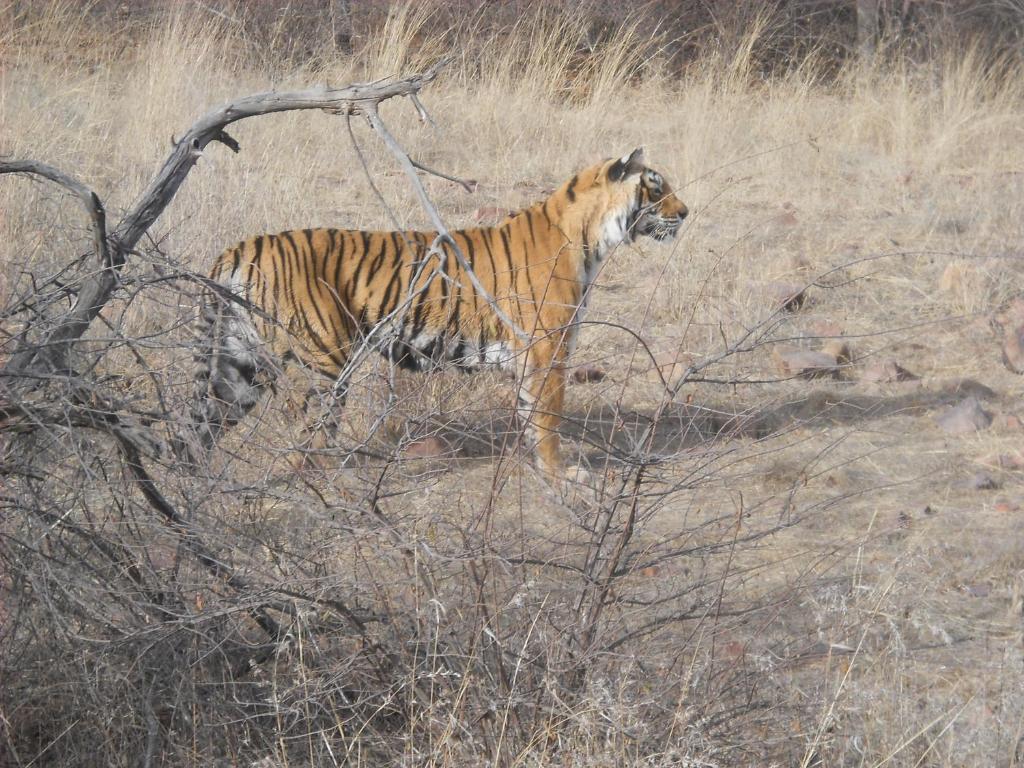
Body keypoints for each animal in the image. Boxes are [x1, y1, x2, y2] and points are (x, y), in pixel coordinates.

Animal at [184, 149, 688, 483]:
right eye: (657, 187)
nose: (686, 212)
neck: (591, 235)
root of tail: (239, 247)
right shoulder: (548, 347)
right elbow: (548, 417)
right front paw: (561, 474)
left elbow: (531, 415)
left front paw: (543, 468)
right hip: (322, 362)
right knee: (303, 434)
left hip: (236, 365)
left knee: (199, 428)